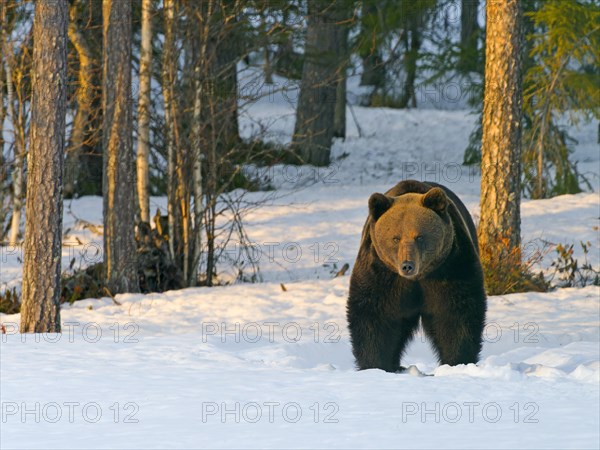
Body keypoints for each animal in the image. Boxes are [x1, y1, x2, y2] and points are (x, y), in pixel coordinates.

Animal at [346, 179, 488, 372]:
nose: (407, 265)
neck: (417, 279)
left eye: (420, 237)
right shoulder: (381, 273)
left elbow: (457, 312)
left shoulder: (451, 266)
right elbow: (373, 314)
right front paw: (375, 365)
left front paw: (457, 361)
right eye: (395, 238)